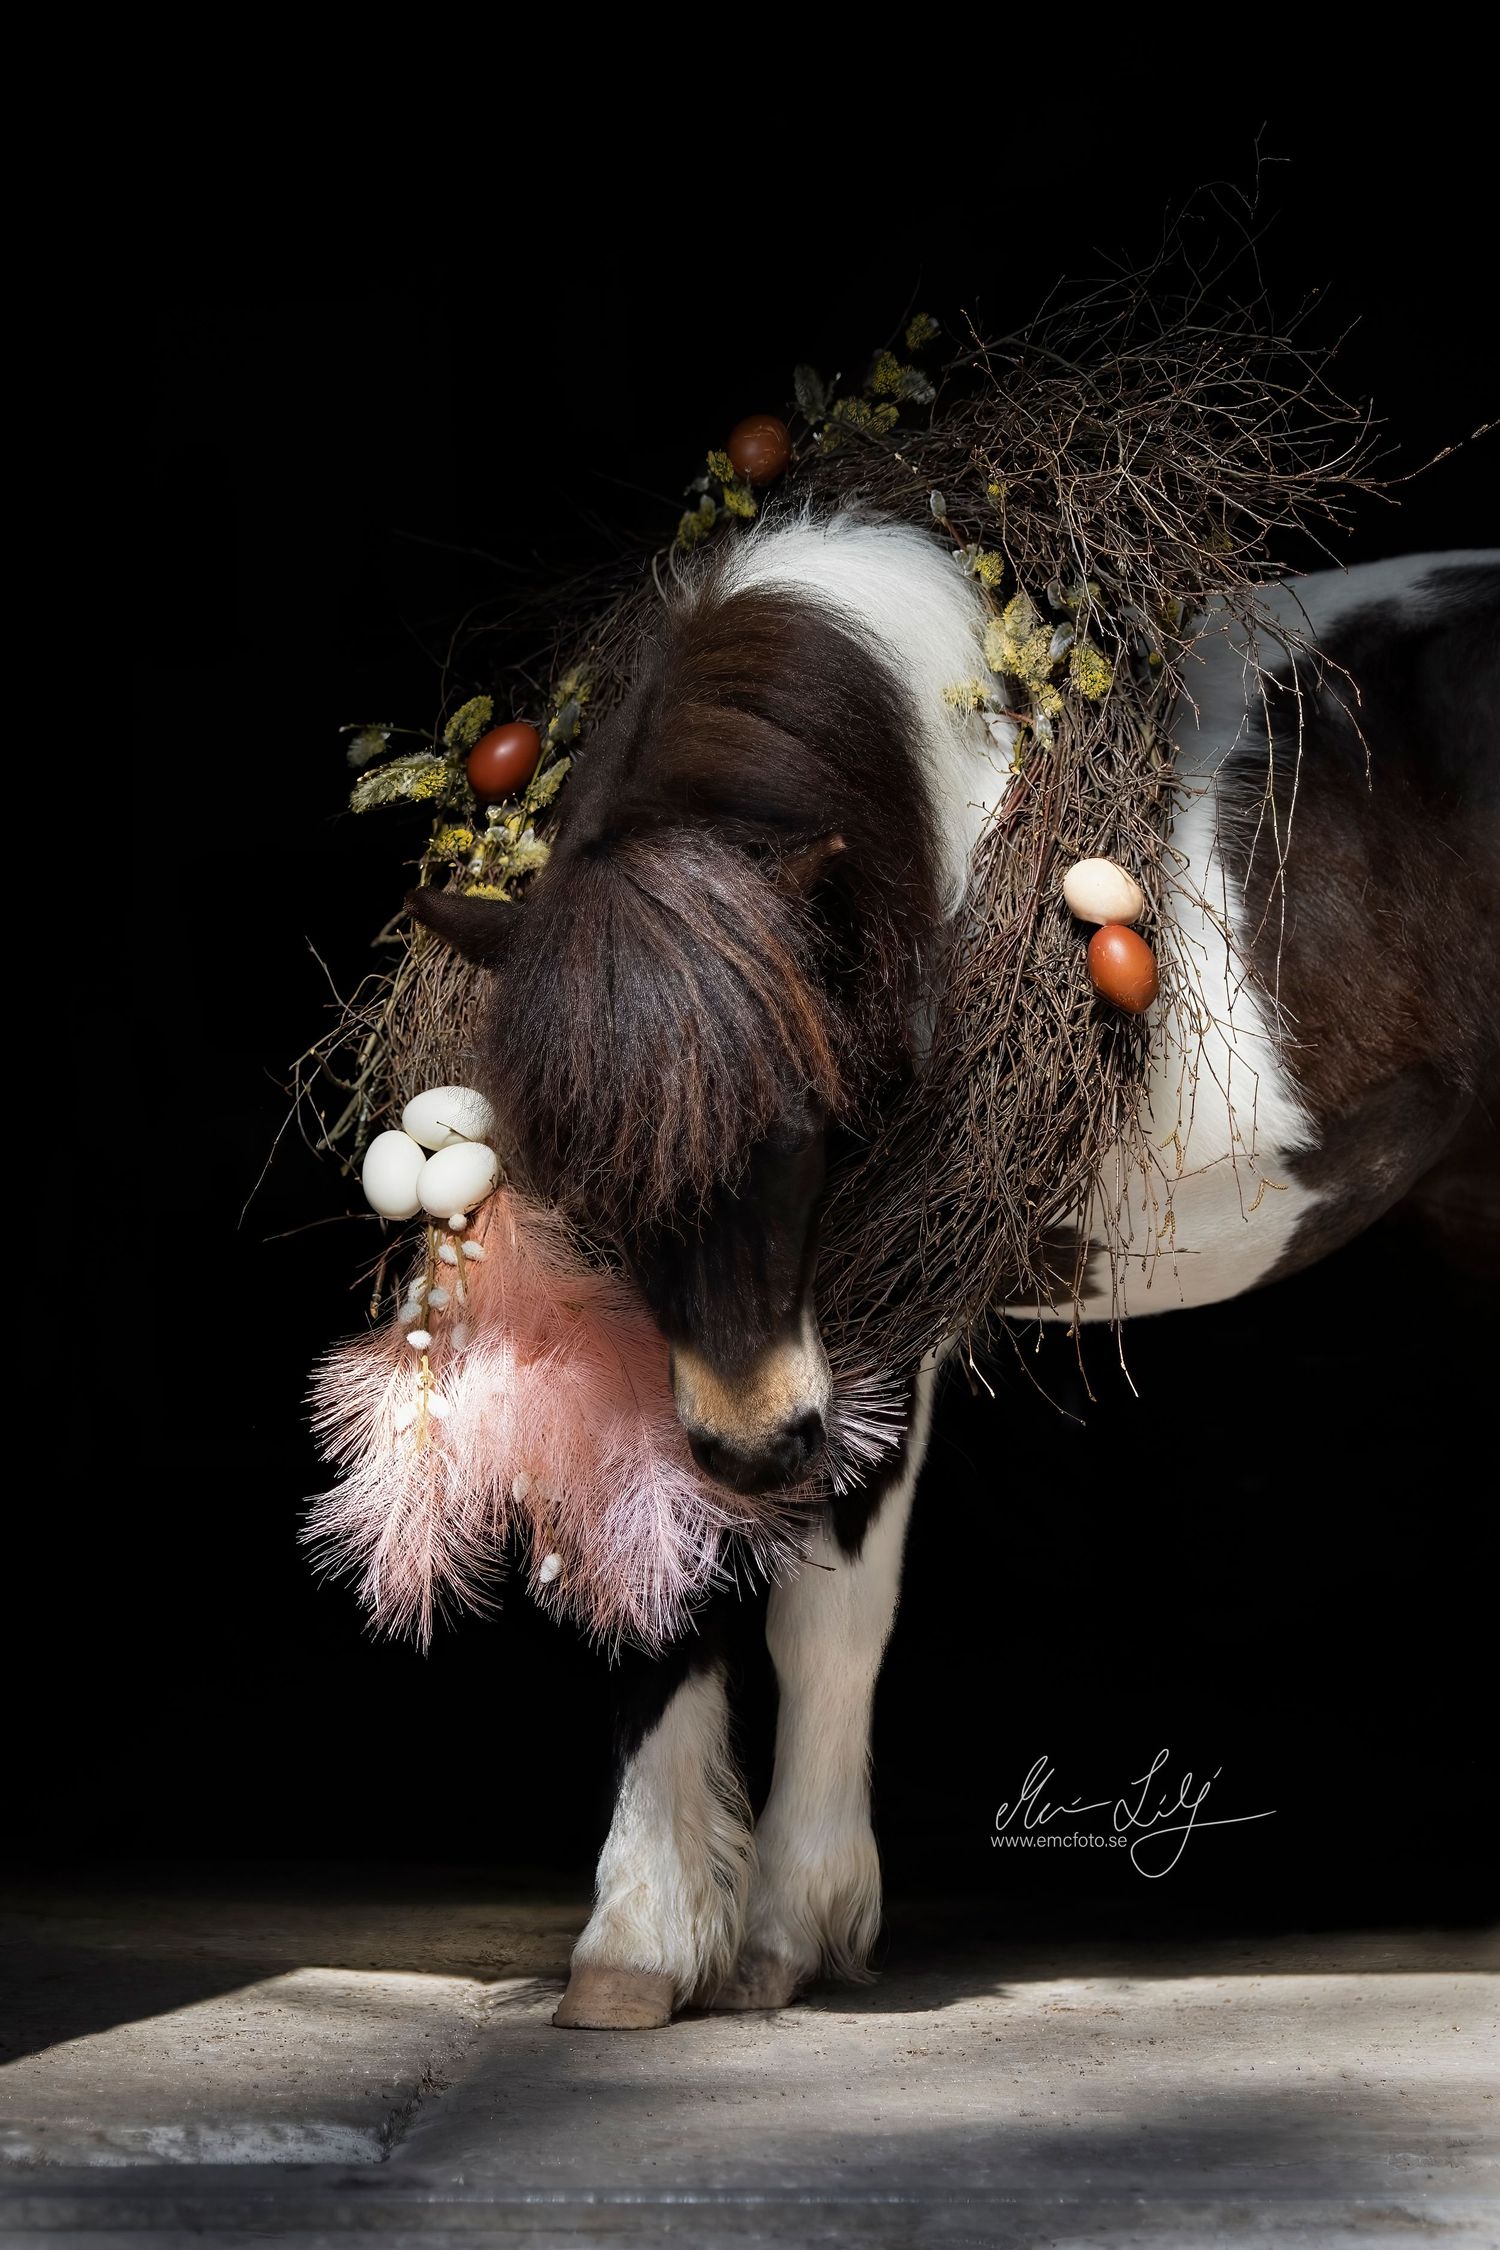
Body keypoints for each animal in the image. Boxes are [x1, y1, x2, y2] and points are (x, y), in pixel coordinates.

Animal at [412, 513, 1499, 2030]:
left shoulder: (880, 1318)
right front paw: (641, 1938)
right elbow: (657, 1587)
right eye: (591, 1176)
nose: (758, 1447)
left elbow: (828, 1616)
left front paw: (783, 1928)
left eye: (805, 1123)